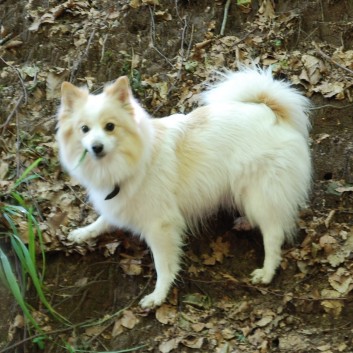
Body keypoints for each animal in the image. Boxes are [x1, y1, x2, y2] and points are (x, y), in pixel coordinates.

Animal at [56, 67, 310, 306]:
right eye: (84, 129)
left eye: (110, 126)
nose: (96, 147)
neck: (132, 161)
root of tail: (271, 111)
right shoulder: (121, 204)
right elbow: (102, 221)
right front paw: (82, 232)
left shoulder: (160, 226)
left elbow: (163, 265)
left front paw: (158, 295)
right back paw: (246, 222)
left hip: (259, 192)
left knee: (274, 232)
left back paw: (266, 272)